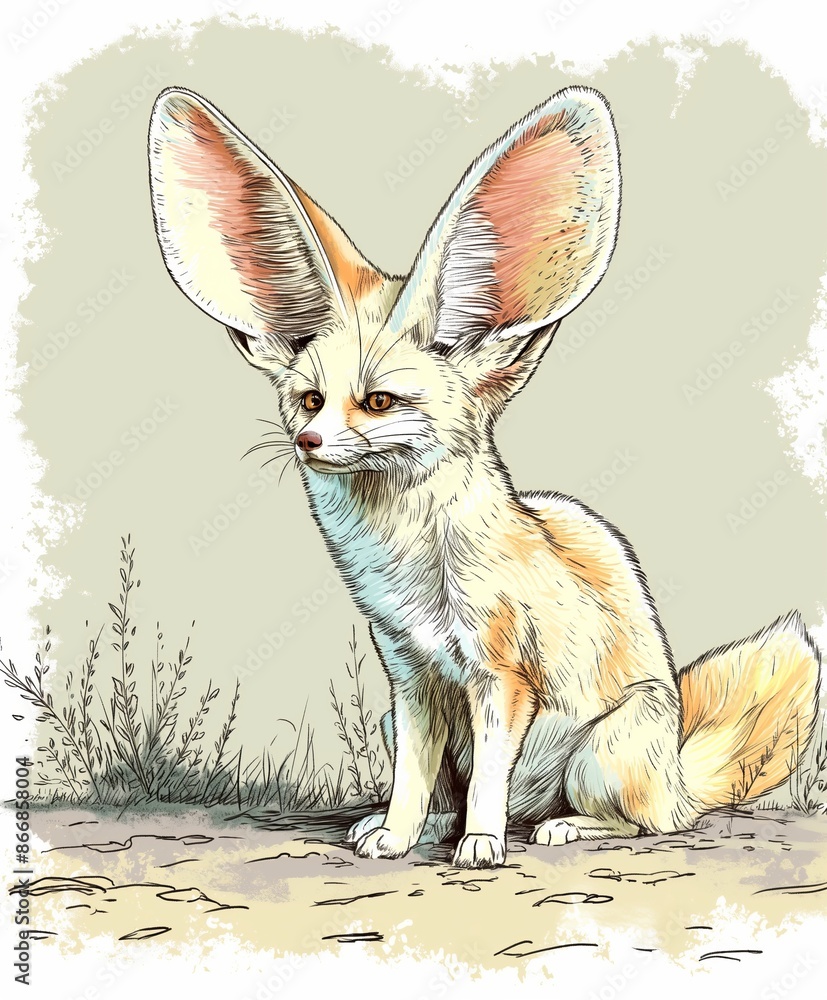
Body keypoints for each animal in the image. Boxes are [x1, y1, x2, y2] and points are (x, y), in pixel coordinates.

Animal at [148, 85, 821, 869]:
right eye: (310, 399)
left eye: (379, 402)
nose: (308, 441)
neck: (408, 568)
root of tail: (680, 774)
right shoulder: (409, 679)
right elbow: (412, 776)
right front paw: (399, 834)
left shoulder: (503, 679)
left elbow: (491, 777)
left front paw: (480, 844)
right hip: (405, 721)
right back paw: (433, 825)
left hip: (601, 754)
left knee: (649, 824)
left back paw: (560, 826)